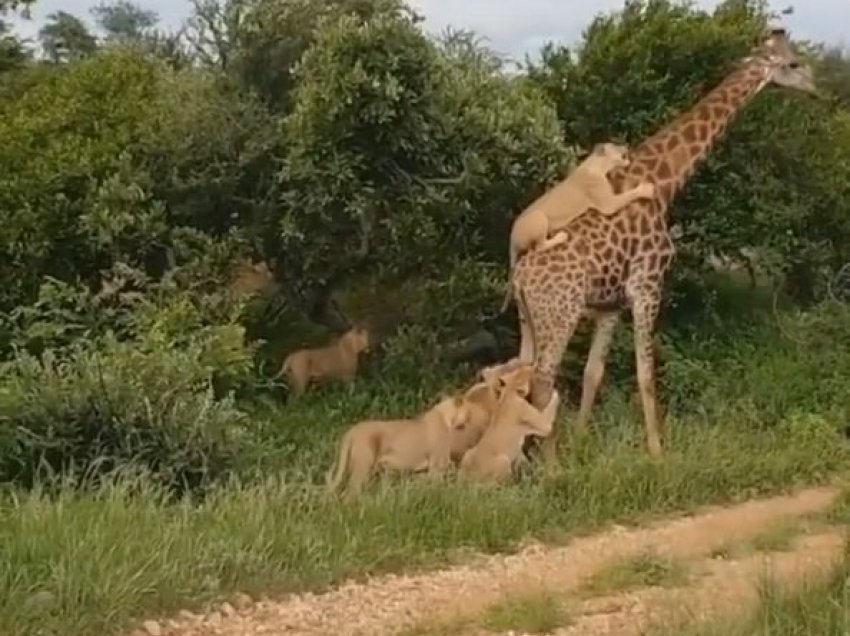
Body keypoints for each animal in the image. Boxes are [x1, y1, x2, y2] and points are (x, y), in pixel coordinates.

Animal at [324, 392, 470, 496]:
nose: (468, 421)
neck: (445, 415)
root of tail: (352, 431)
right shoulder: (437, 466)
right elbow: (437, 487)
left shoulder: (424, 470)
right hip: (363, 466)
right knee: (349, 494)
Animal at [506, 24, 820, 460]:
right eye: (792, 63)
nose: (816, 88)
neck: (666, 181)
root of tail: (518, 277)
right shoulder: (647, 285)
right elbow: (645, 372)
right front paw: (656, 452)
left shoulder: (610, 304)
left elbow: (593, 372)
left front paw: (583, 441)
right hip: (560, 315)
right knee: (541, 383)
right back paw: (550, 463)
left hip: (530, 319)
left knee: (522, 372)